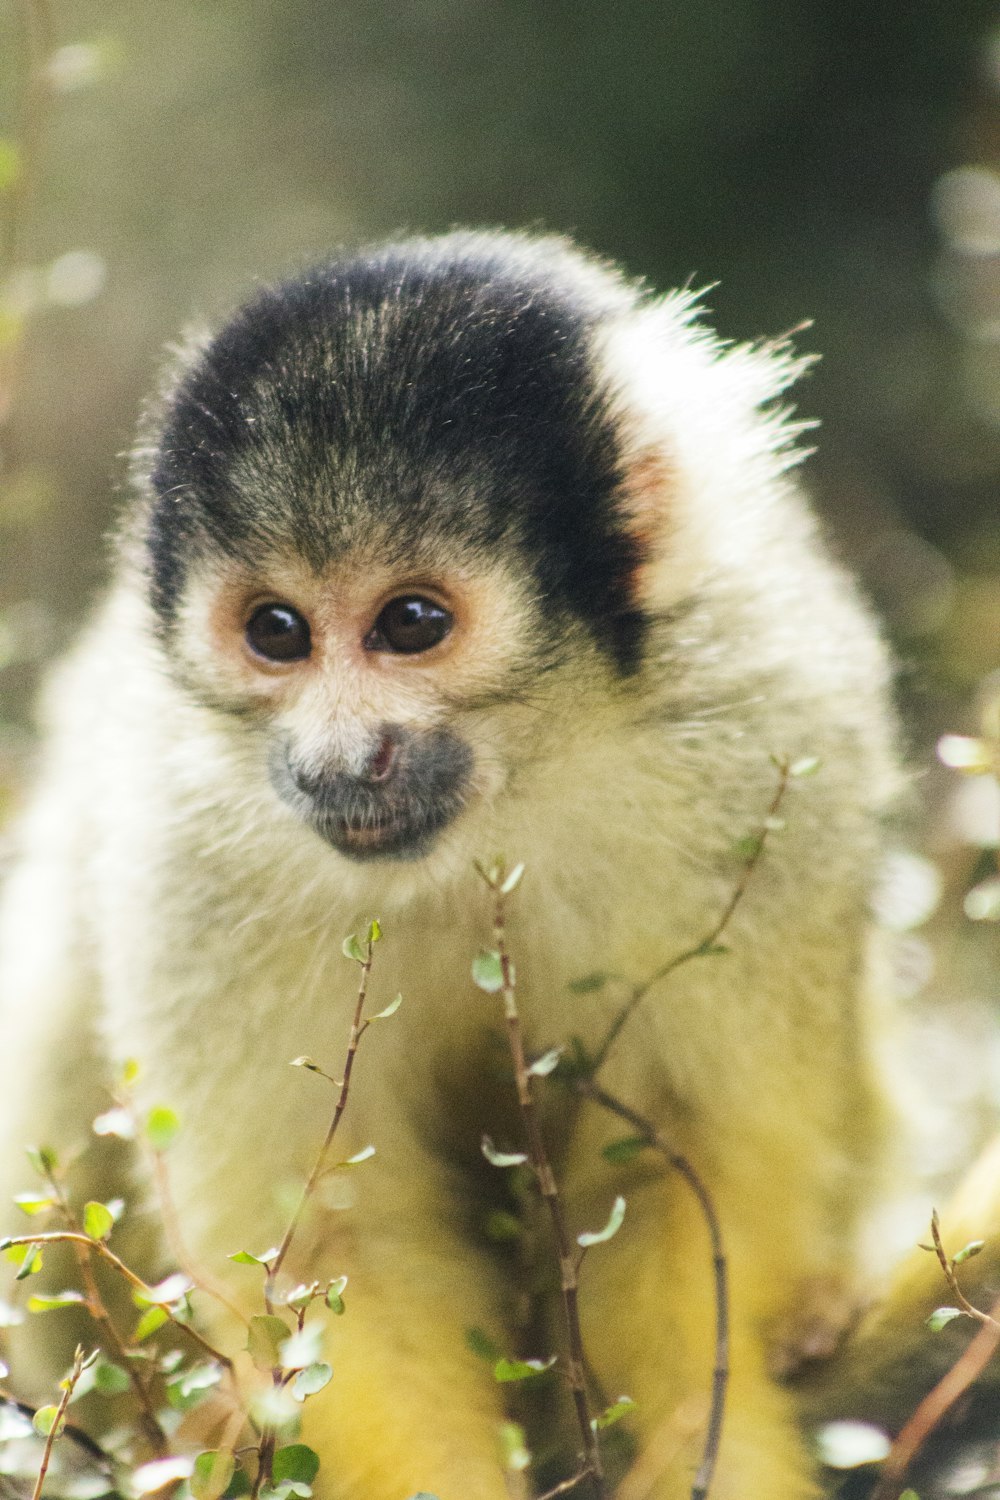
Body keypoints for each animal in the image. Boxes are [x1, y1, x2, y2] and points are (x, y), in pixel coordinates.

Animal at [0, 228, 905, 1494]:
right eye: (276, 631)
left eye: (412, 623)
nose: (338, 760)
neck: (500, 809)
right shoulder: (190, 838)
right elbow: (342, 1248)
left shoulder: (767, 725)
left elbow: (668, 1175)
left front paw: (713, 1444)